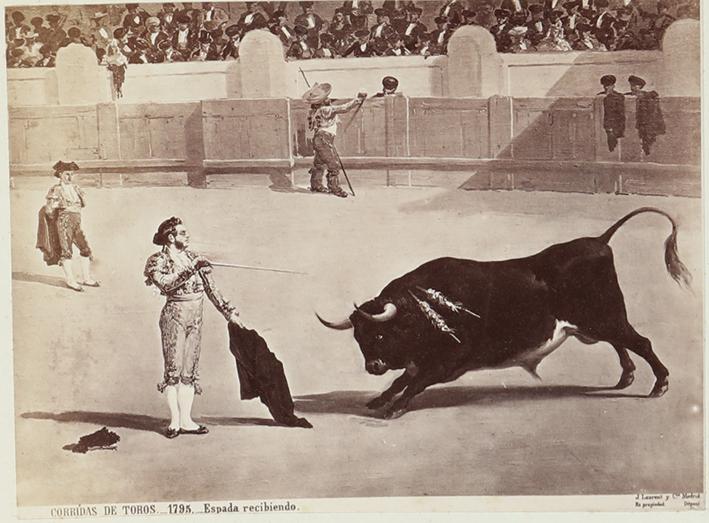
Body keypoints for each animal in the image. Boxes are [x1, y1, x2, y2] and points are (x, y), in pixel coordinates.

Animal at [316, 207, 692, 420]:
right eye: (359, 337)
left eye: (382, 333)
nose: (372, 366)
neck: (426, 307)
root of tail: (599, 241)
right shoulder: (424, 361)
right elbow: (402, 379)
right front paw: (378, 399)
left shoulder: (449, 362)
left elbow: (413, 382)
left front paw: (393, 408)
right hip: (595, 322)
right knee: (621, 343)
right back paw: (626, 377)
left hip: (605, 316)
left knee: (640, 341)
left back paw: (660, 384)